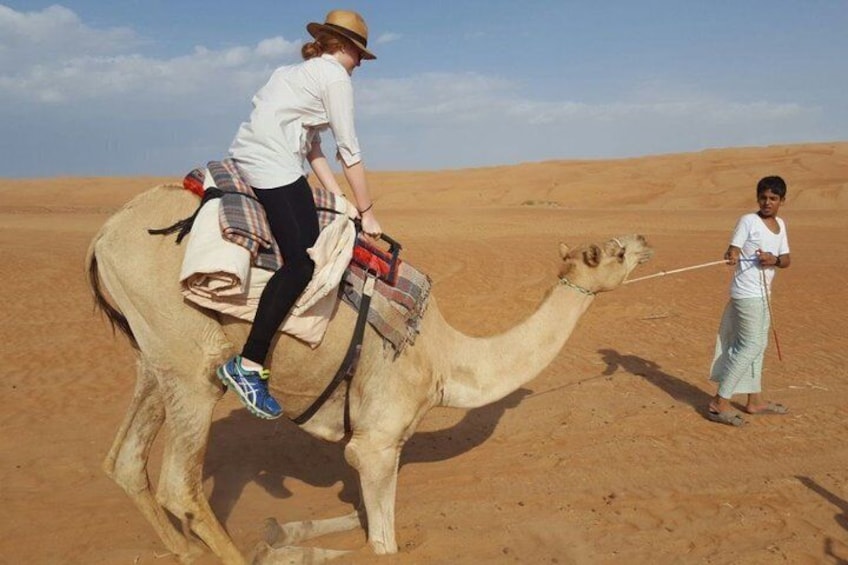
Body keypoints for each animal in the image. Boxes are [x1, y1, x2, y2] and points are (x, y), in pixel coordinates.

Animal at [86, 184, 653, 564]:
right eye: (616, 251)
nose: (645, 237)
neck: (442, 359)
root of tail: (103, 237)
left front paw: (286, 534)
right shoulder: (378, 442)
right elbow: (384, 543)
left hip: (151, 358)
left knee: (126, 460)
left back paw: (185, 550)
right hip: (191, 362)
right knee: (180, 485)